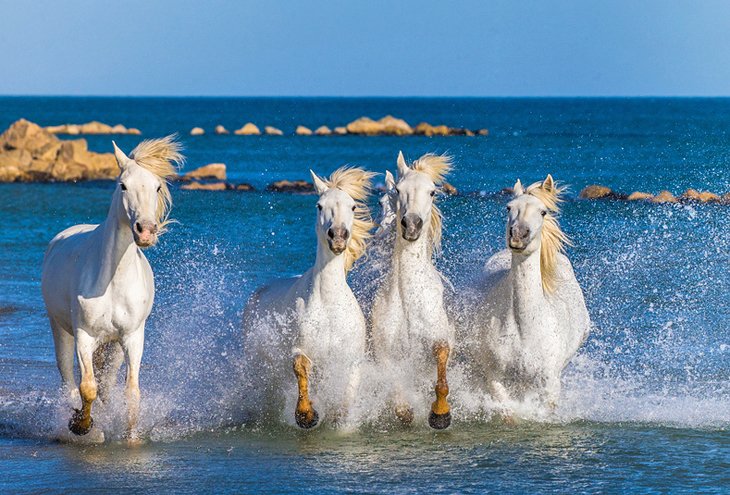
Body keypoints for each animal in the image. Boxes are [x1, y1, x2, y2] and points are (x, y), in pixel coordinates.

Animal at [41, 136, 182, 442]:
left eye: (157, 186)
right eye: (123, 185)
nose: (145, 231)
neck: (113, 281)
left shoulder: (132, 337)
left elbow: (131, 393)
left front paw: (130, 438)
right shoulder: (84, 335)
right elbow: (87, 388)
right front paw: (81, 425)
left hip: (113, 347)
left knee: (105, 385)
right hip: (61, 330)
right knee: (69, 381)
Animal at [243, 168, 372, 430]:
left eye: (353, 206)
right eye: (319, 205)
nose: (338, 237)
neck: (330, 306)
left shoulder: (352, 357)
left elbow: (348, 390)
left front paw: (338, 417)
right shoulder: (300, 347)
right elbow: (300, 367)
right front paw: (306, 415)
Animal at [370, 152, 456, 430]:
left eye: (432, 192)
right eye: (399, 190)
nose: (411, 225)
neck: (409, 301)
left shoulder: (440, 339)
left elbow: (441, 377)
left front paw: (440, 414)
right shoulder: (384, 350)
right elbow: (396, 390)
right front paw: (406, 411)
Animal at [464, 175, 588, 414]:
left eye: (543, 212)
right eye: (509, 207)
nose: (518, 236)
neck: (526, 330)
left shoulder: (549, 385)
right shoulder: (496, 379)